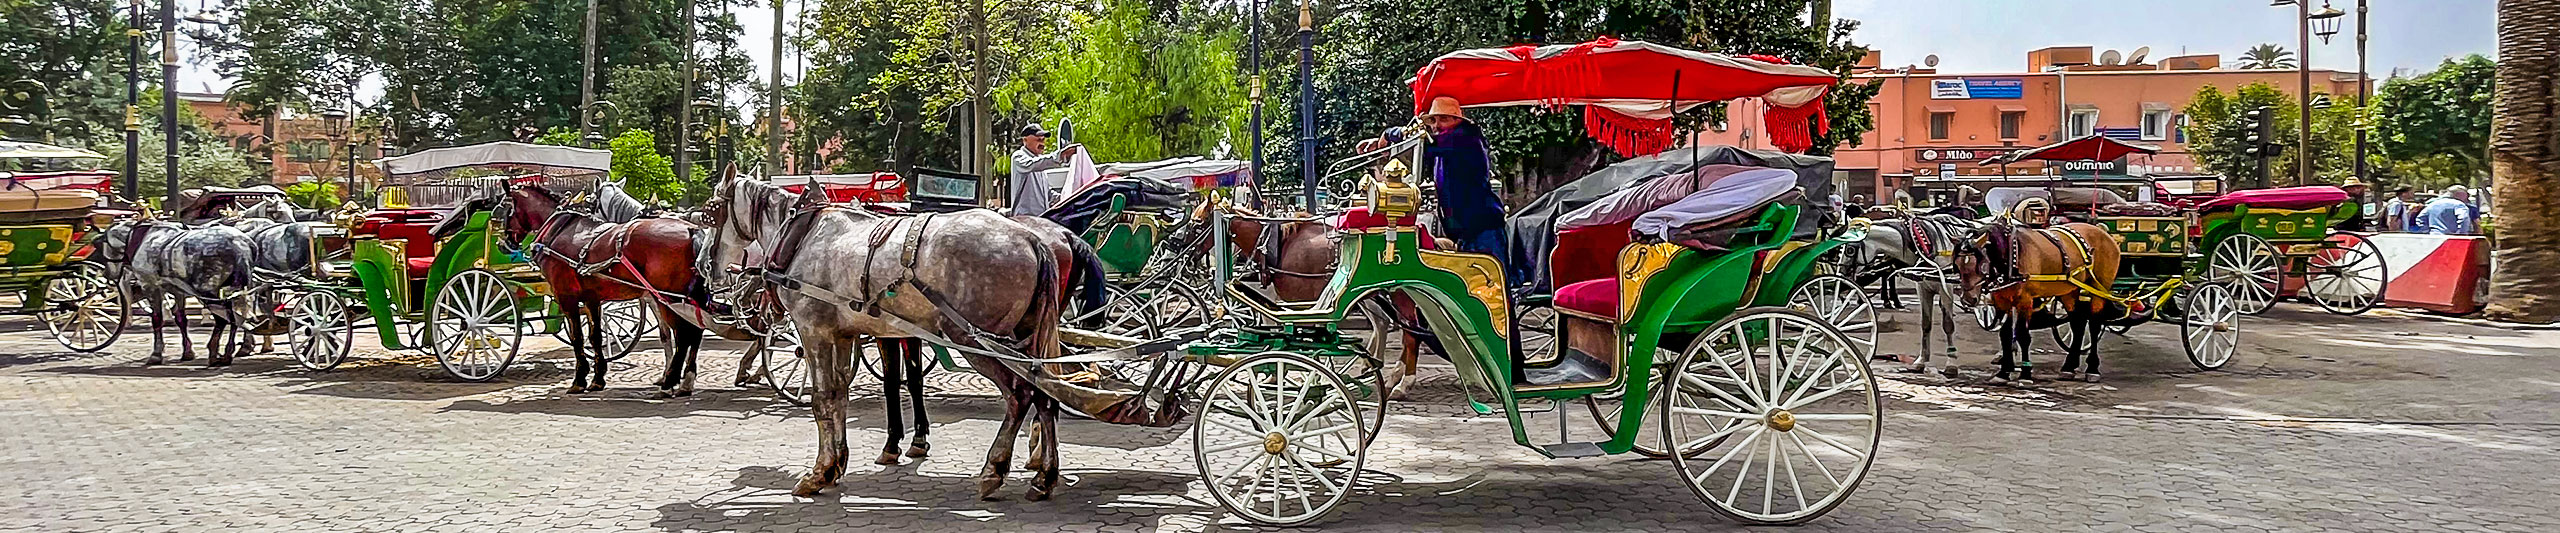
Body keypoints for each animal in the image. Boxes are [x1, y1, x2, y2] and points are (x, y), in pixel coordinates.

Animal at [496, 184, 711, 394]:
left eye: (505, 208)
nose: (503, 244)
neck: (558, 229)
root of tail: (691, 230)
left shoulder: (567, 297)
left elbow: (577, 337)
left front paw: (579, 379)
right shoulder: (592, 299)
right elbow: (596, 336)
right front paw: (598, 379)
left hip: (667, 298)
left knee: (684, 335)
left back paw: (671, 381)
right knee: (694, 333)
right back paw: (686, 380)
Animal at [1955, 198, 2119, 384]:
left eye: (1981, 265)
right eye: (1958, 266)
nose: (1968, 299)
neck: (2013, 254)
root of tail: (2102, 231)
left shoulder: (2025, 301)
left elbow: (2022, 334)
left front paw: (2025, 373)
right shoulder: (2002, 299)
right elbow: (2005, 334)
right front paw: (2003, 372)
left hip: (2098, 288)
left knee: (2094, 324)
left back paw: (2092, 368)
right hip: (2069, 290)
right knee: (2078, 322)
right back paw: (2069, 366)